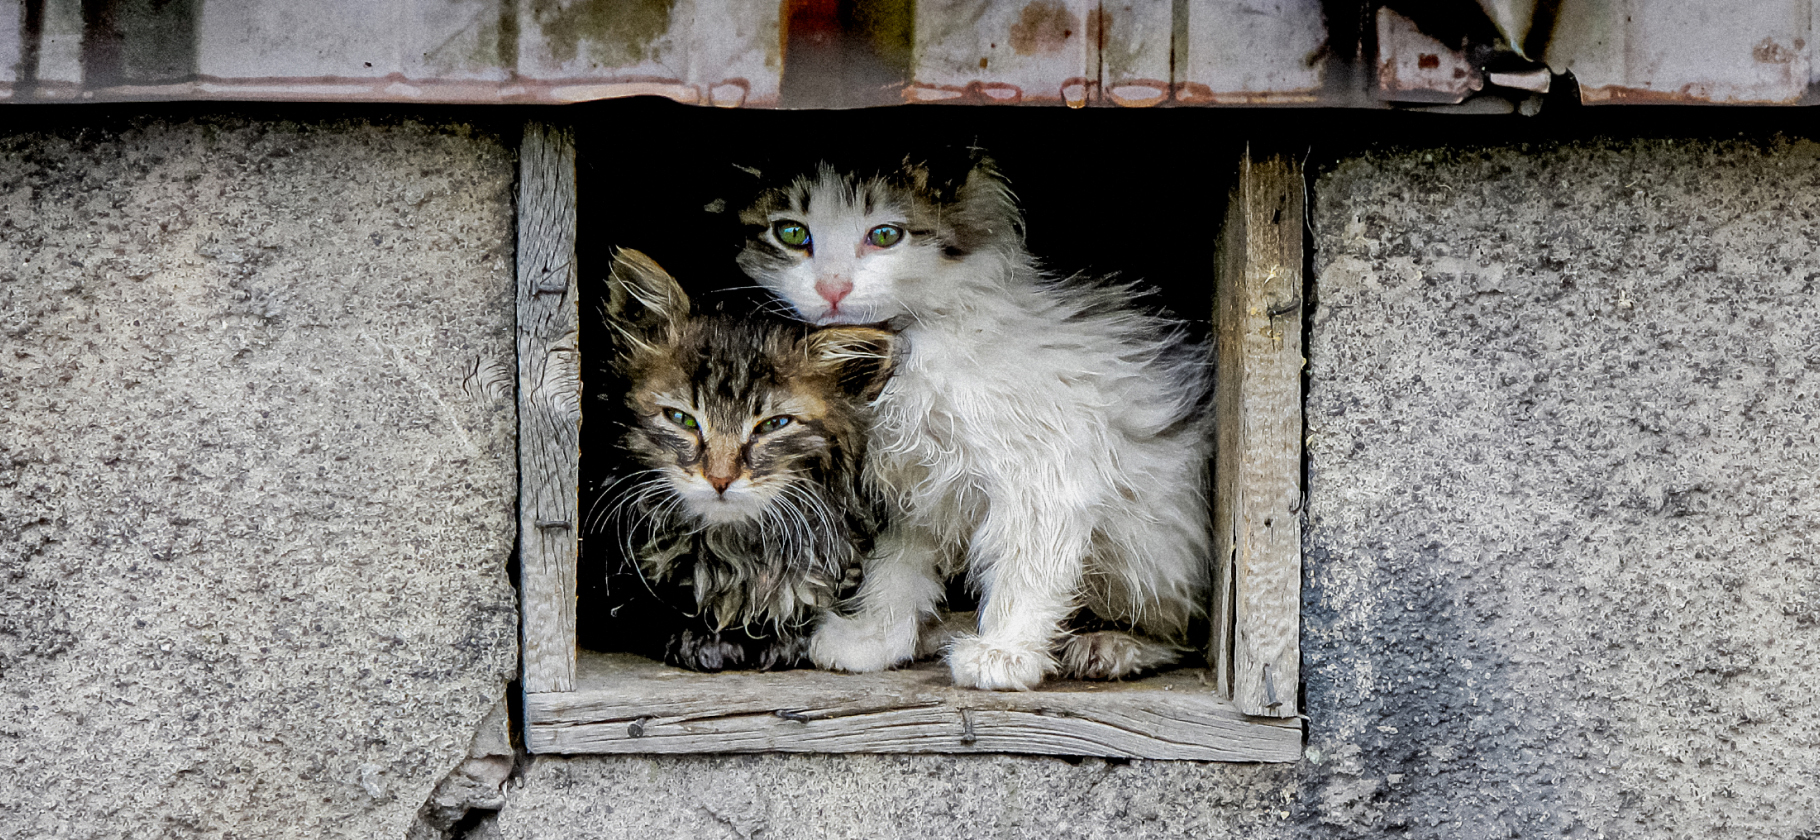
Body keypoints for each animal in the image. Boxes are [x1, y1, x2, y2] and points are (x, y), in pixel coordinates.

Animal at [600, 247, 899, 669]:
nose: (720, 478)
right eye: (681, 418)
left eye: (773, 424)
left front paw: (786, 639)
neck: (733, 547)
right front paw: (701, 639)